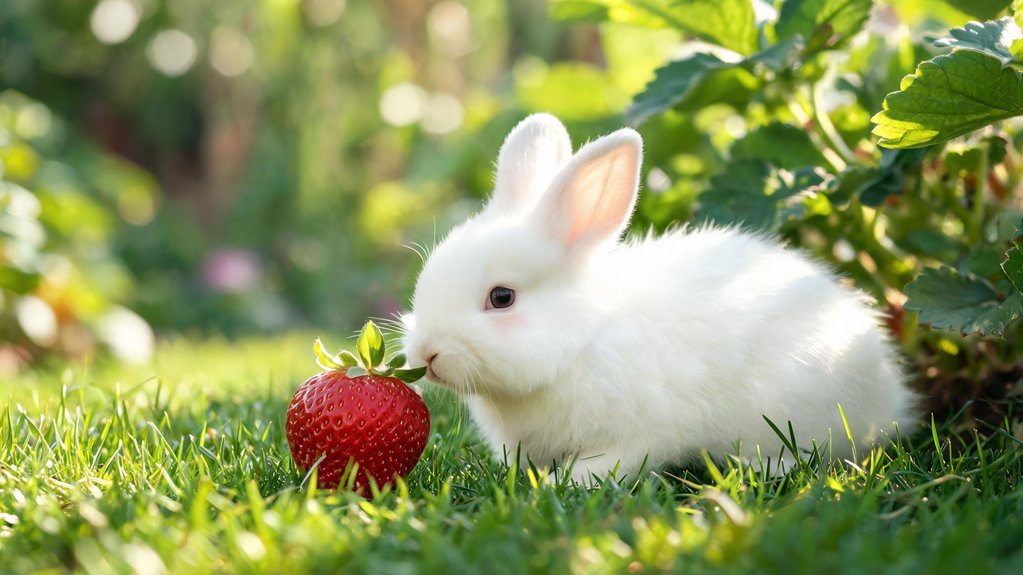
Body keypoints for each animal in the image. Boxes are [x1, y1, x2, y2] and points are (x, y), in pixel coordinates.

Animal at [401, 113, 919, 483]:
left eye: (502, 297)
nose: (427, 354)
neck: (580, 342)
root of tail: (890, 398)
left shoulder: (638, 434)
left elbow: (608, 466)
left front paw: (559, 485)